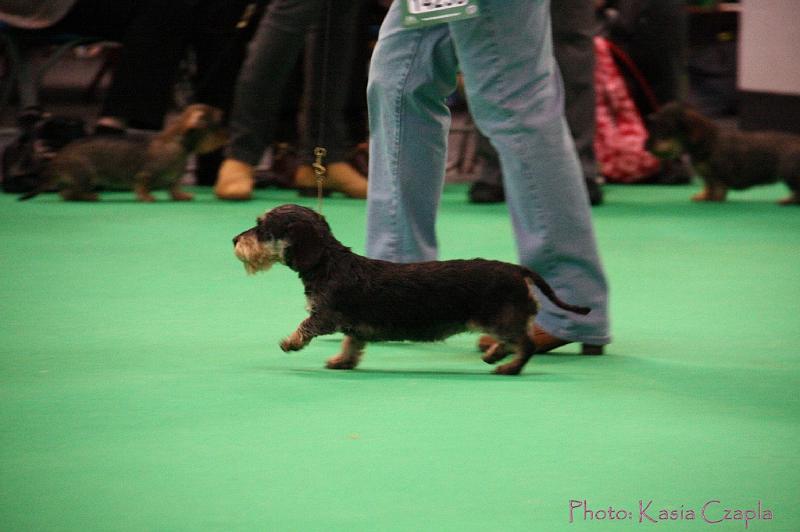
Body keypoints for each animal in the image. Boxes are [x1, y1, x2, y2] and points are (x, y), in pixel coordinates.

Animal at [19, 104, 225, 202]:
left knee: (65, 193)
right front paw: (146, 198)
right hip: (85, 176)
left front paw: (181, 196)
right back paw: (89, 197)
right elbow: (143, 185)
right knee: (71, 193)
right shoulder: (146, 174)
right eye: (218, 122)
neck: (179, 143)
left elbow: (173, 188)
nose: (228, 134)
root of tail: (59, 156)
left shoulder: (173, 179)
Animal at [231, 203, 588, 374]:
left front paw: (290, 342)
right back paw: (495, 354)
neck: (328, 263)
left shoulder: (327, 315)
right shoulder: (352, 326)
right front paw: (341, 361)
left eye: (262, 228)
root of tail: (517, 269)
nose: (234, 239)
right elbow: (351, 343)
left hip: (502, 318)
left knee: (526, 344)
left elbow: (307, 326)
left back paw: (508, 368)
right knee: (515, 340)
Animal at [644, 101, 800, 205]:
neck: (709, 142)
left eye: (666, 127)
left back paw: (788, 200)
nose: (646, 146)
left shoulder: (718, 176)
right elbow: (708, 188)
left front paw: (715, 199)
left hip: (788, 172)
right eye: (655, 124)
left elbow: (718, 189)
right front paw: (703, 197)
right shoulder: (707, 176)